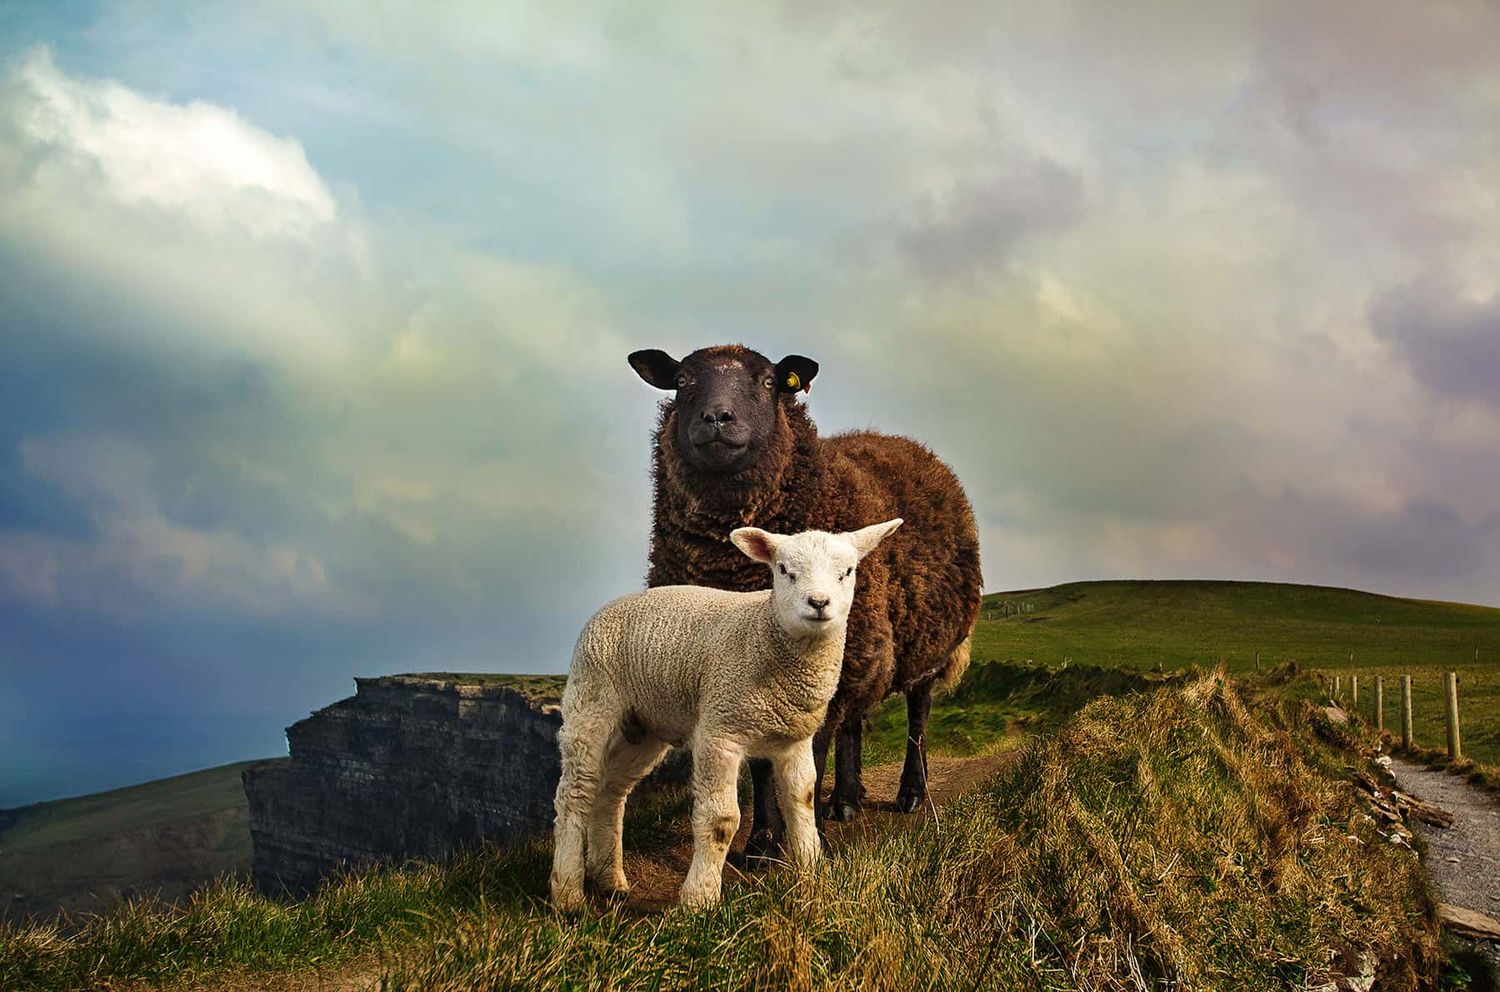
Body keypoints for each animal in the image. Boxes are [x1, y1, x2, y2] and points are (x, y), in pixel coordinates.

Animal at [552, 513, 900, 906]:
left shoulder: (794, 740)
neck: (763, 634)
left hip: (642, 726)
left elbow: (803, 802)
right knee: (575, 793)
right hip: (591, 700)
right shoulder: (720, 730)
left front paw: (812, 876)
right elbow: (721, 820)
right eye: (784, 570)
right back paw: (568, 893)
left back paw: (609, 879)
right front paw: (699, 898)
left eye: (848, 571)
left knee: (611, 792)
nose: (819, 602)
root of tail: (608, 607)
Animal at [624, 342, 984, 858]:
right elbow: (762, 764)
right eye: (683, 380)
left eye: (769, 382)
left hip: (924, 643)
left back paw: (911, 793)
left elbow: (805, 757)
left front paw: (799, 843)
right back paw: (847, 800)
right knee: (855, 720)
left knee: (918, 714)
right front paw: (761, 842)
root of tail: (907, 443)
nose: (717, 417)